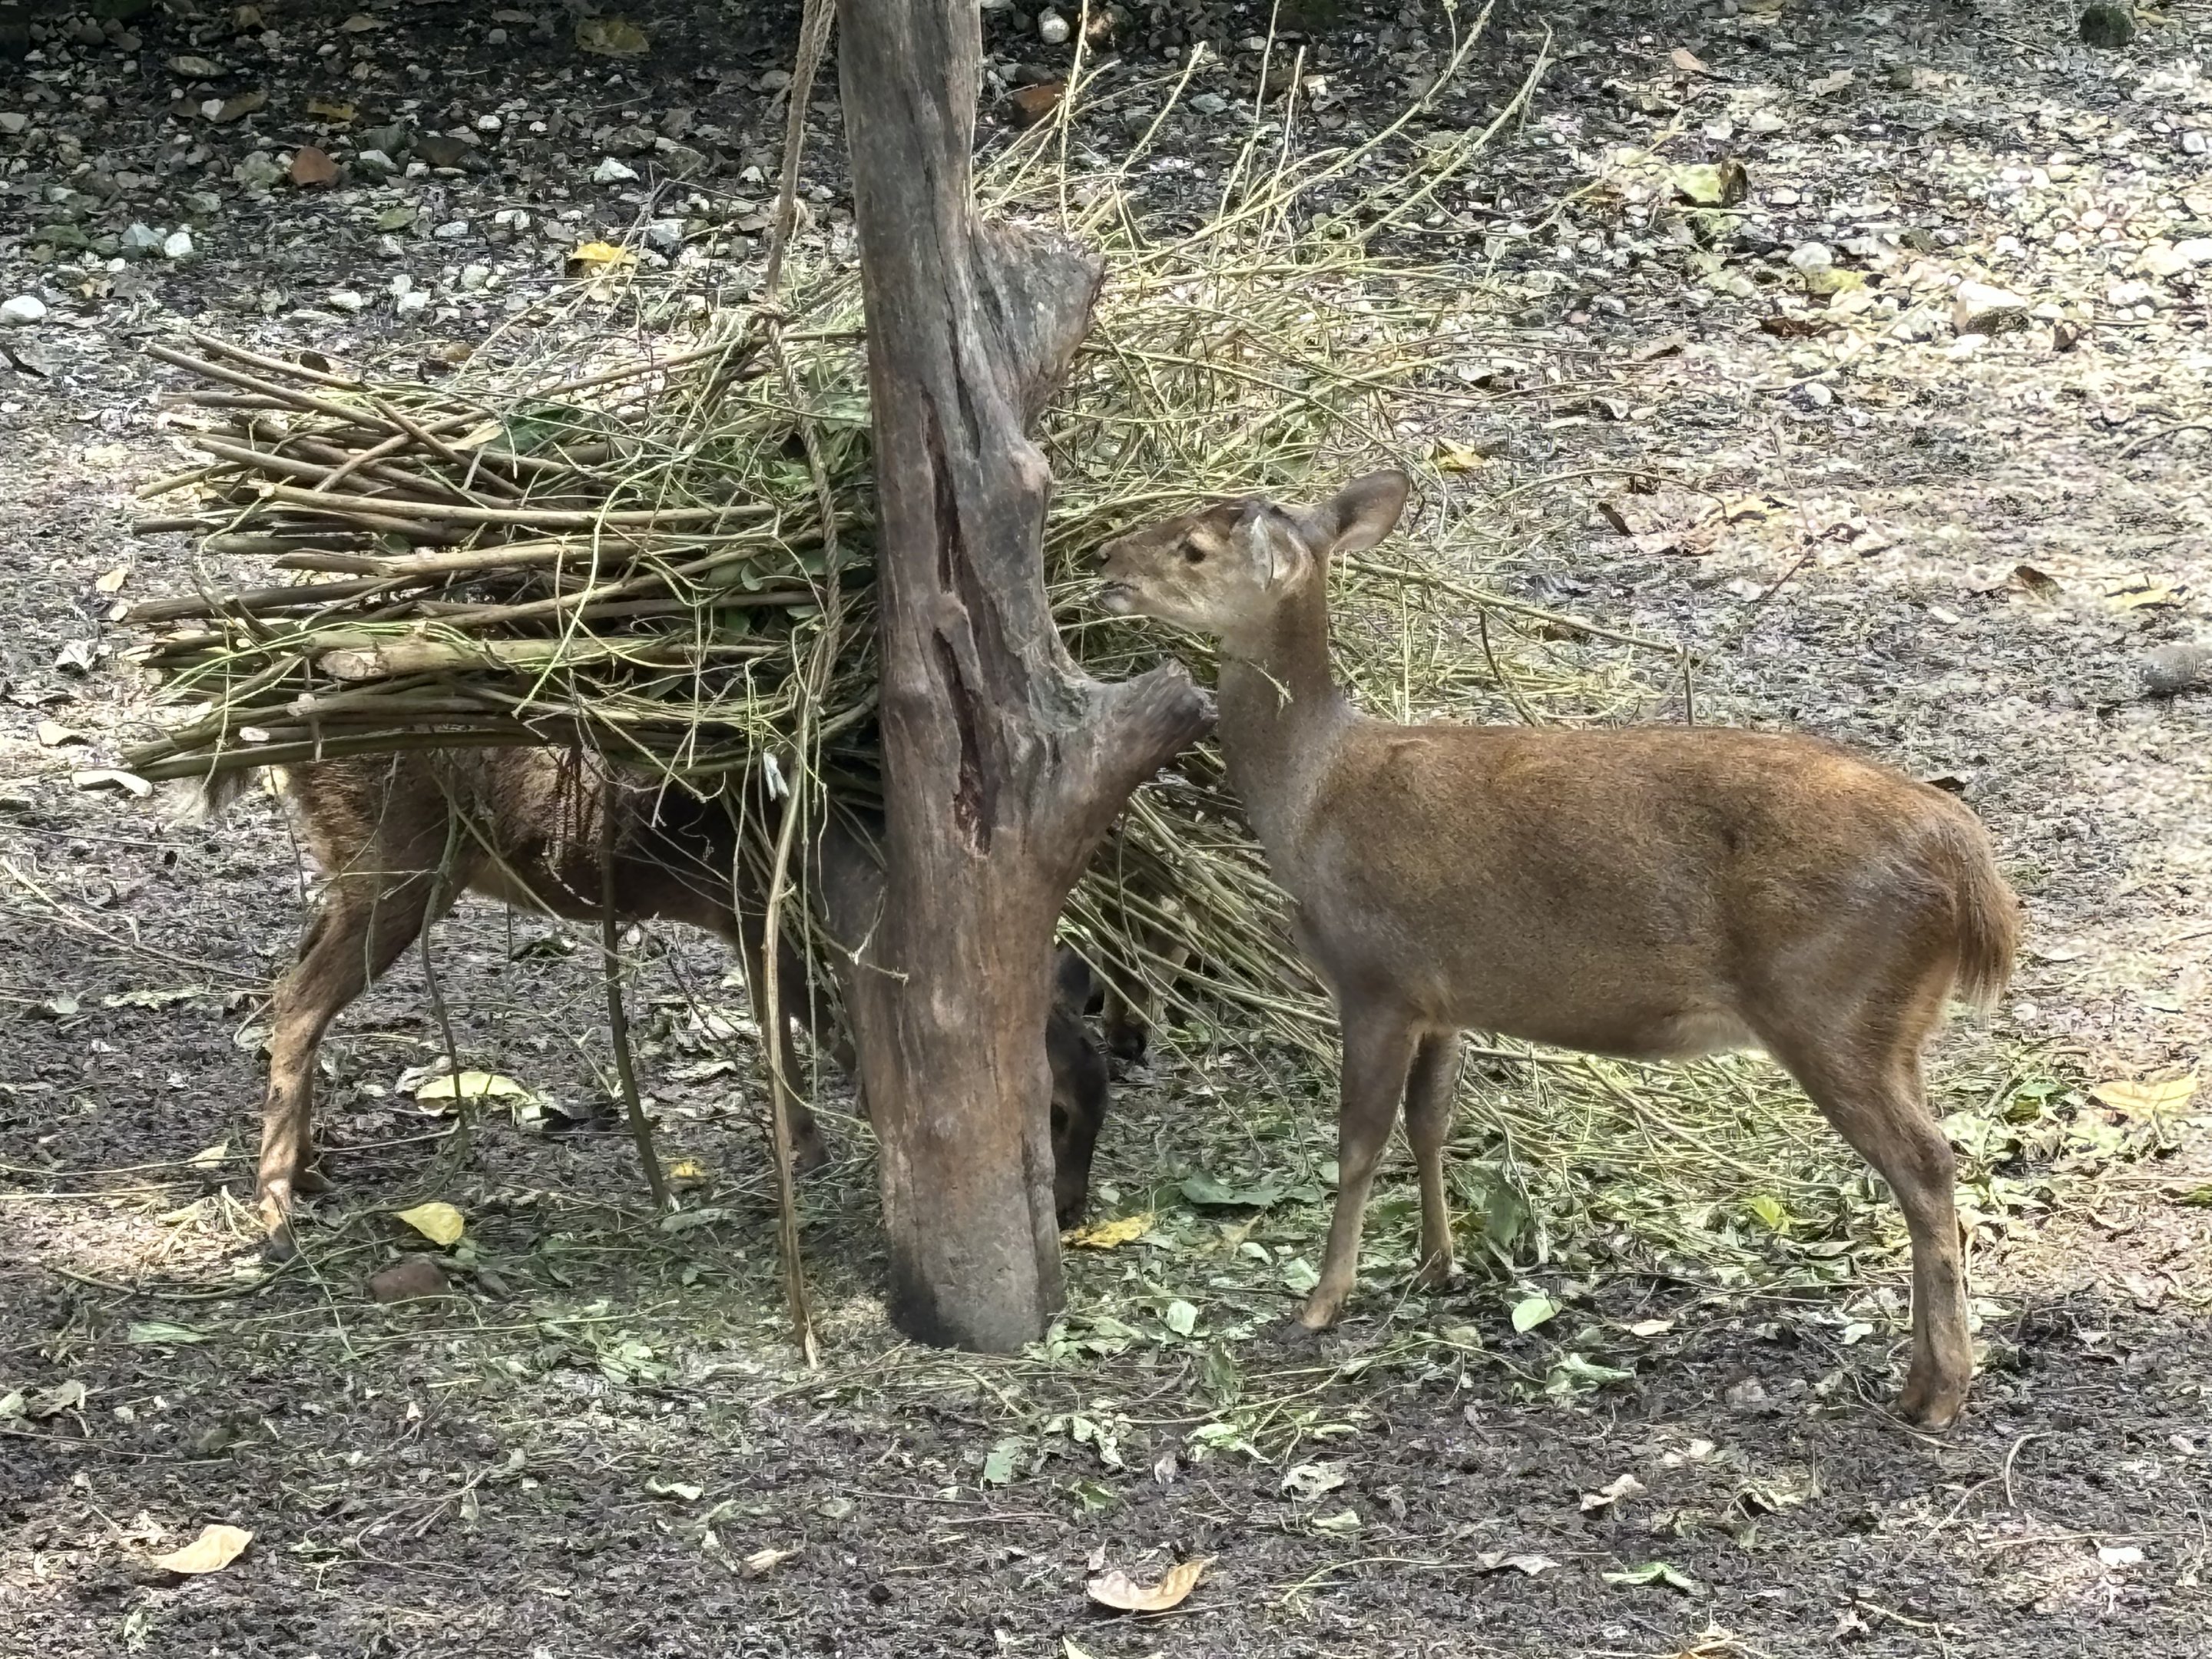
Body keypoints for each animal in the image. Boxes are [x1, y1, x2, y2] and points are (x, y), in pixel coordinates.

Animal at [187, 750, 1110, 1254]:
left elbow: (789, 1028)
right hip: (403, 855)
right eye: (1054, 1112)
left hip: (362, 865)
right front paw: (835, 1150)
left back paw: (309, 1167)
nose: (1068, 1211)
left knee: (294, 975)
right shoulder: (761, 901)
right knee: (296, 1000)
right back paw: (274, 1205)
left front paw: (808, 1150)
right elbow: (822, 1028)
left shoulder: (747, 911)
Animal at [1094, 471, 2020, 1429]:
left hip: (1826, 1002)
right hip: (1891, 1024)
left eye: (1193, 548)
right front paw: (1437, 1261)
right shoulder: (1443, 995)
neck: (1312, 803)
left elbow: (1358, 1138)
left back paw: (1938, 1392)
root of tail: (1971, 869)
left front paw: (1322, 1299)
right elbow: (1432, 1122)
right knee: (1934, 1158)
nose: (1101, 557)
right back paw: (1928, 1376)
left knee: (1925, 1165)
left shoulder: (1375, 972)